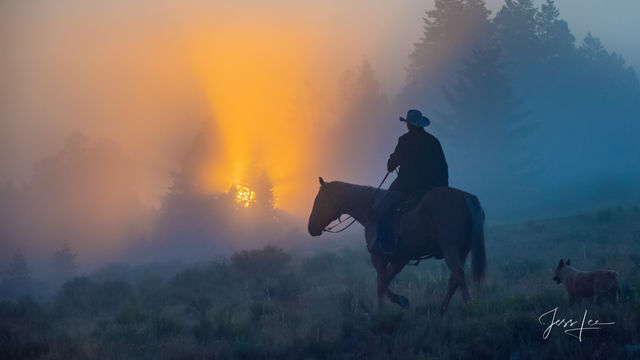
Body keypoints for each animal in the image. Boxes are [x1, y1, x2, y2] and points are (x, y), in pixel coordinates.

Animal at [308, 176, 488, 312]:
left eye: (319, 200)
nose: (310, 228)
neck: (371, 209)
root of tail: (465, 196)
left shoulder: (378, 257)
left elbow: (381, 283)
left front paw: (385, 310)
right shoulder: (400, 259)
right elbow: (386, 281)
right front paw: (399, 301)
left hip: (450, 249)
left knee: (458, 274)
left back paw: (469, 306)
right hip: (463, 250)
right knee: (454, 280)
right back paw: (442, 311)